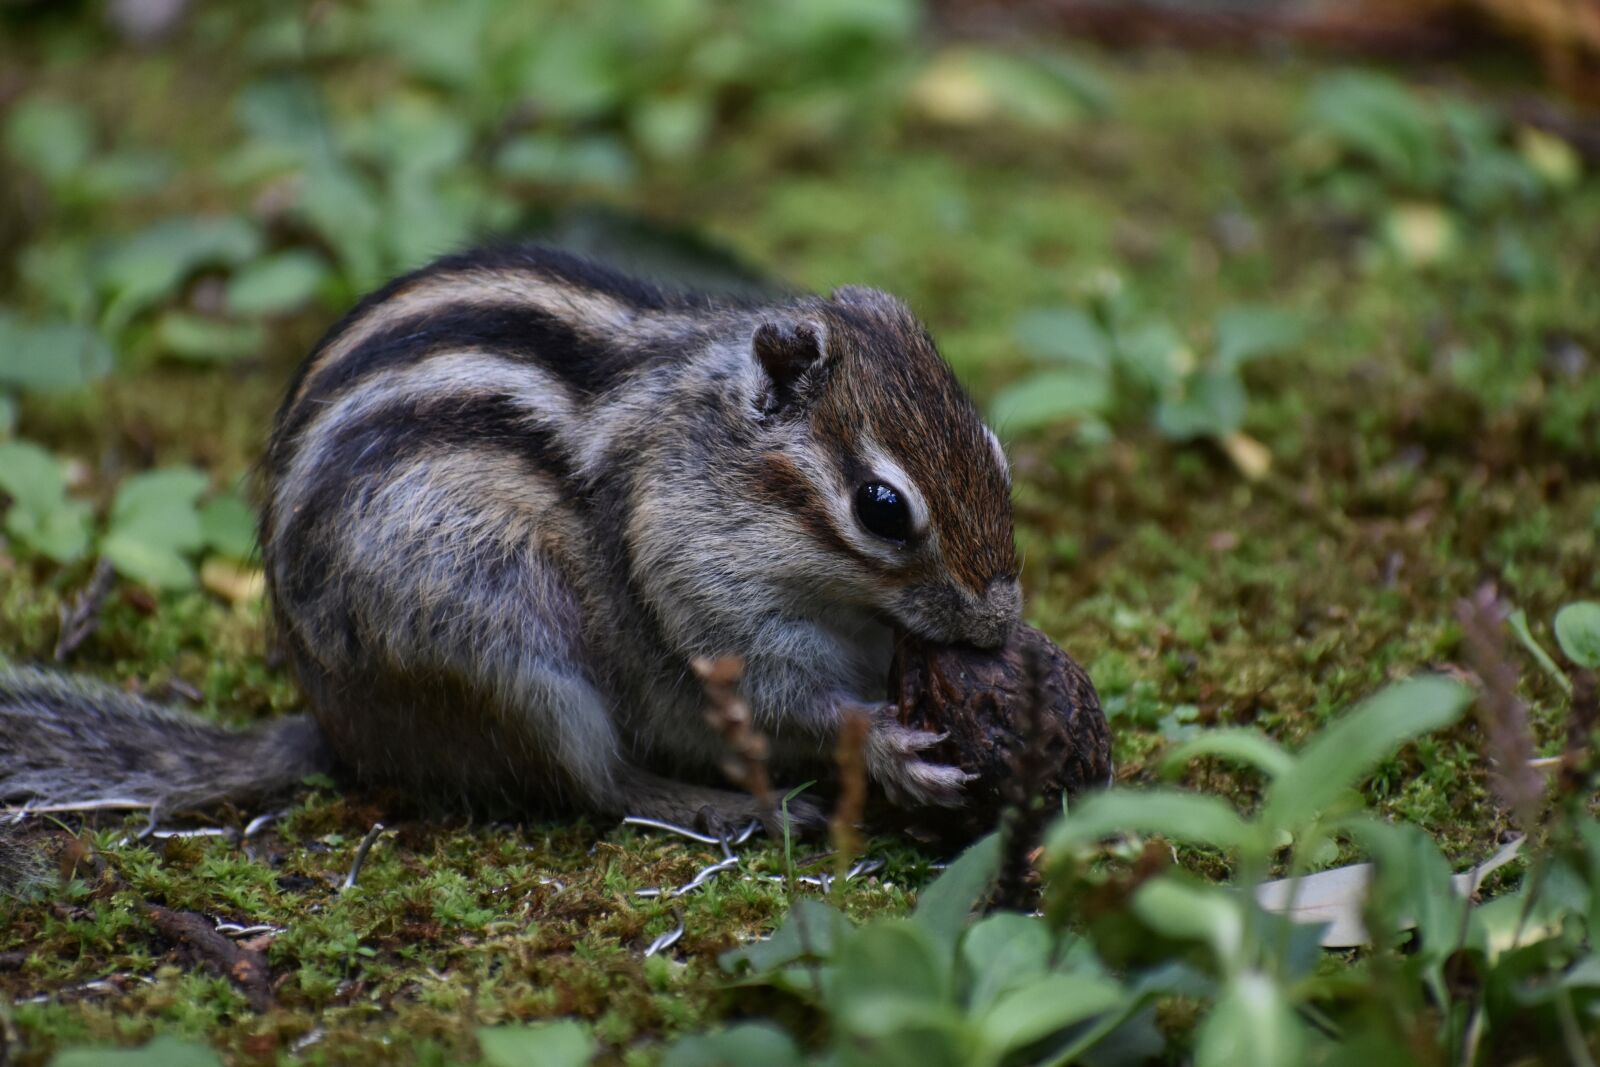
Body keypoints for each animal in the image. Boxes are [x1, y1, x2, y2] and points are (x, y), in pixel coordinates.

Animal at [0, 245, 1020, 837]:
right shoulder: (708, 610)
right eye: (882, 508)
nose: (1000, 624)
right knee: (597, 784)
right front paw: (890, 748)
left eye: (999, 454)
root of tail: (343, 729)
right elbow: (792, 703)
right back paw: (724, 805)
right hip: (508, 654)